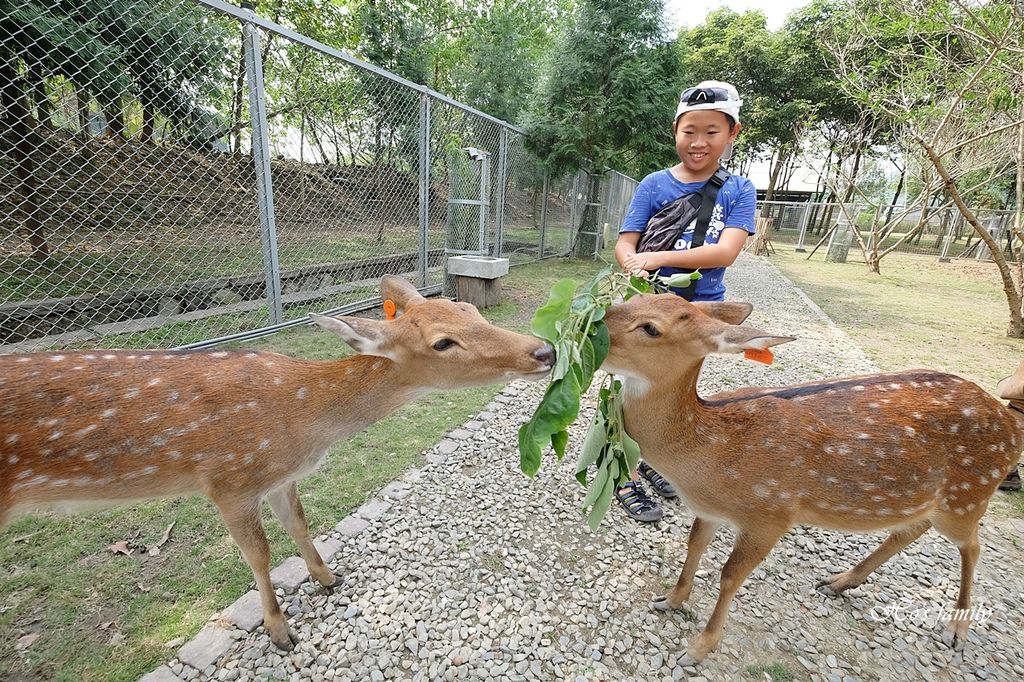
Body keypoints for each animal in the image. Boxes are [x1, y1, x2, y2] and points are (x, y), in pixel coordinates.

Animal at [0, 276, 557, 647]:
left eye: (470, 309)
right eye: (443, 342)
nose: (545, 350)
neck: (301, 421)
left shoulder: (279, 477)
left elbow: (299, 523)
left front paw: (327, 578)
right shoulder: (228, 479)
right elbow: (259, 554)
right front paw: (278, 630)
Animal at [598, 292, 1024, 663]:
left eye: (651, 328)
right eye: (634, 298)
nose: (596, 325)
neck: (709, 457)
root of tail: (1011, 425)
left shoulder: (771, 514)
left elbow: (730, 576)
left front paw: (698, 648)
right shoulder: (710, 510)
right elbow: (694, 547)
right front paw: (669, 601)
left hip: (969, 494)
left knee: (972, 546)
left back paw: (957, 629)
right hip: (933, 499)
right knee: (911, 528)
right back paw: (839, 582)